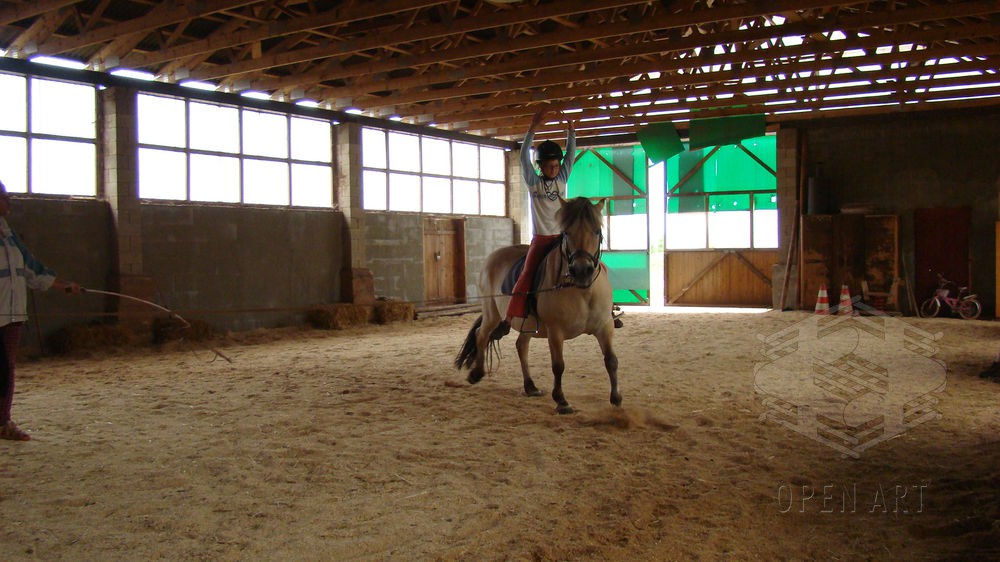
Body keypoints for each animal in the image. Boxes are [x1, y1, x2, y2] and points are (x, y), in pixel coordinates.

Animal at [455, 196, 620, 414]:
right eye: (567, 232)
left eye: (596, 231)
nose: (582, 271)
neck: (582, 291)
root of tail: (493, 256)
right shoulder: (555, 331)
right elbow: (558, 365)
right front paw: (561, 401)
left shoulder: (604, 326)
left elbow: (611, 360)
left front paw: (616, 398)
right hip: (492, 312)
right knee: (481, 334)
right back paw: (477, 373)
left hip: (526, 323)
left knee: (521, 345)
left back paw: (530, 386)